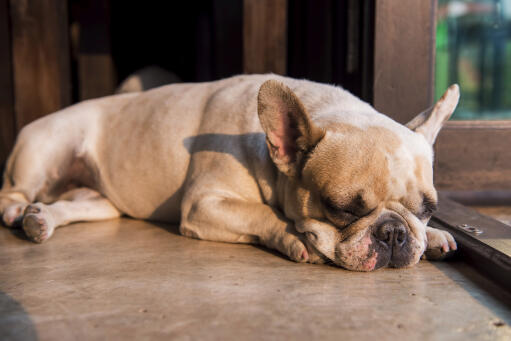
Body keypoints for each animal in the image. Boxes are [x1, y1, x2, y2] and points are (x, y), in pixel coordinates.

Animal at [0, 75, 460, 270]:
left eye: (428, 209)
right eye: (341, 208)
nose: (393, 233)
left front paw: (434, 237)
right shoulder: (205, 204)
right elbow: (263, 214)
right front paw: (293, 237)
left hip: (100, 201)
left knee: (70, 205)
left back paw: (41, 219)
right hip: (43, 147)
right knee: (11, 192)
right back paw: (19, 212)